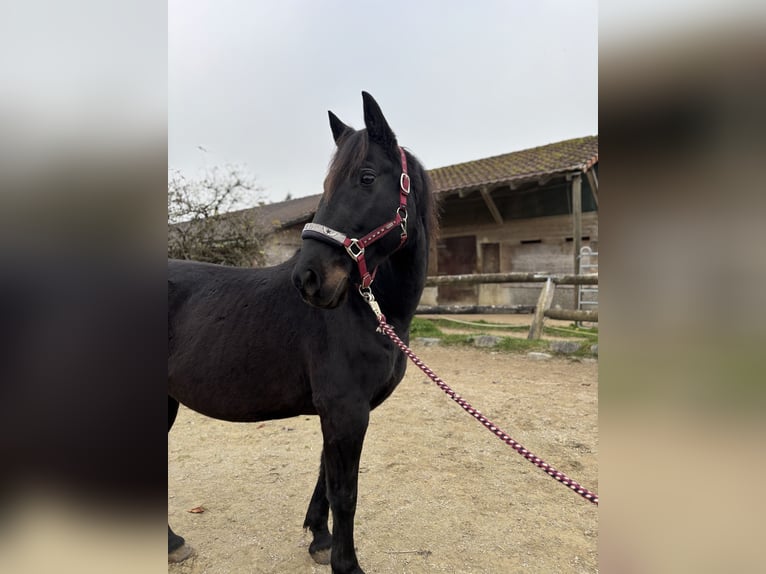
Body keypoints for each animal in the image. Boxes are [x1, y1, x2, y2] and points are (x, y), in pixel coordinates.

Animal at [171, 92, 440, 572]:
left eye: (366, 177)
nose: (309, 279)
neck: (367, 312)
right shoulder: (345, 410)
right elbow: (345, 493)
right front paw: (346, 564)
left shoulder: (340, 412)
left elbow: (324, 479)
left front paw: (320, 538)